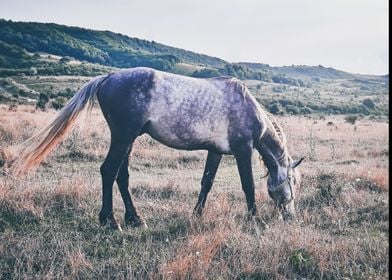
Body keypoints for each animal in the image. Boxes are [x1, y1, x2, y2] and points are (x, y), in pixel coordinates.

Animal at [12, 67, 304, 230]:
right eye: (292, 181)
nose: (290, 216)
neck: (246, 107)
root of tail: (108, 77)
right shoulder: (243, 151)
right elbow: (248, 186)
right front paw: (255, 219)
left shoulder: (216, 151)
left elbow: (206, 182)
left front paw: (197, 215)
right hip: (123, 137)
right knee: (108, 171)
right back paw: (110, 221)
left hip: (127, 140)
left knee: (121, 175)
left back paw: (134, 219)